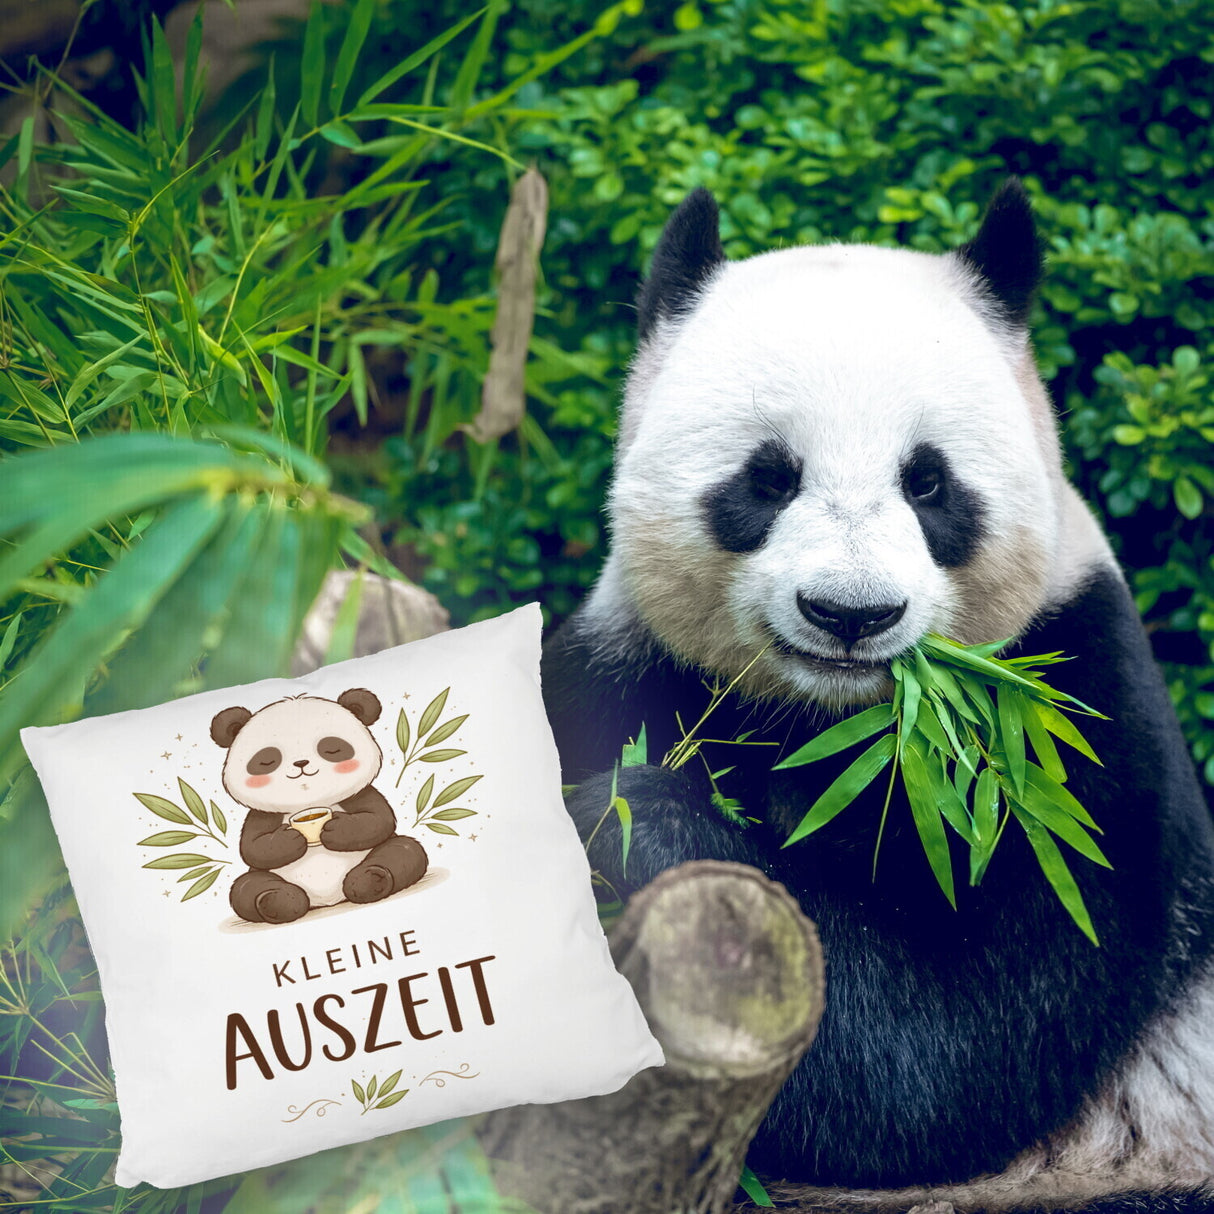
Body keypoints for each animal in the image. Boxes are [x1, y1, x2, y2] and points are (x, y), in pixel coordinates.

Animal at [211, 689, 428, 924]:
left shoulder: (359, 795)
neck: (308, 803)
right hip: (265, 877)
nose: (301, 763)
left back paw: (371, 879)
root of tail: (327, 901)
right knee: (247, 887)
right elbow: (253, 846)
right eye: (267, 760)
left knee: (403, 851)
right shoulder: (262, 813)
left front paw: (336, 829)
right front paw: (290, 838)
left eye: (332, 748)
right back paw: (277, 901)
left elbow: (378, 819)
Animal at [542, 180, 1214, 1211]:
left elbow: (946, 1051)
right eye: (768, 478)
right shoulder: (623, 665)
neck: (835, 720)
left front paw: (631, 819)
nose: (851, 613)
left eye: (929, 481)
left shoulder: (1067, 736)